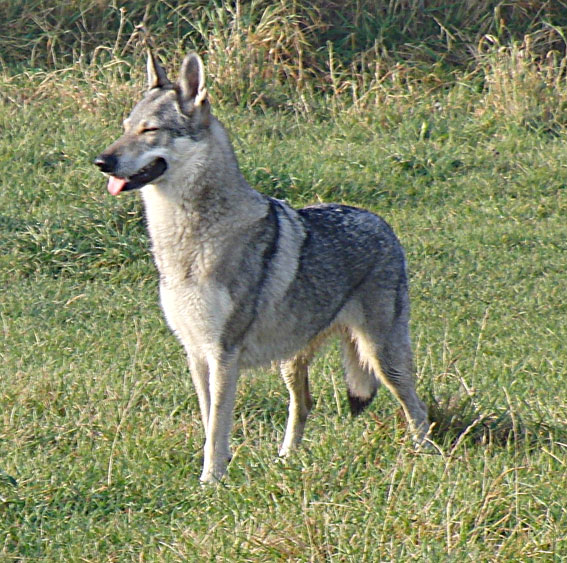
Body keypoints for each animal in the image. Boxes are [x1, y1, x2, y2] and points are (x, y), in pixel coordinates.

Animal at [94, 51, 430, 480]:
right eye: (125, 128)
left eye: (149, 130)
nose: (101, 161)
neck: (186, 241)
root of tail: (381, 223)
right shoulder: (196, 353)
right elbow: (209, 421)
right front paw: (218, 472)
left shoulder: (223, 354)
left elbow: (217, 427)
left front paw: (211, 480)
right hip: (292, 360)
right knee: (304, 404)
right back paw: (286, 458)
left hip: (383, 356)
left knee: (416, 408)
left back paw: (426, 456)